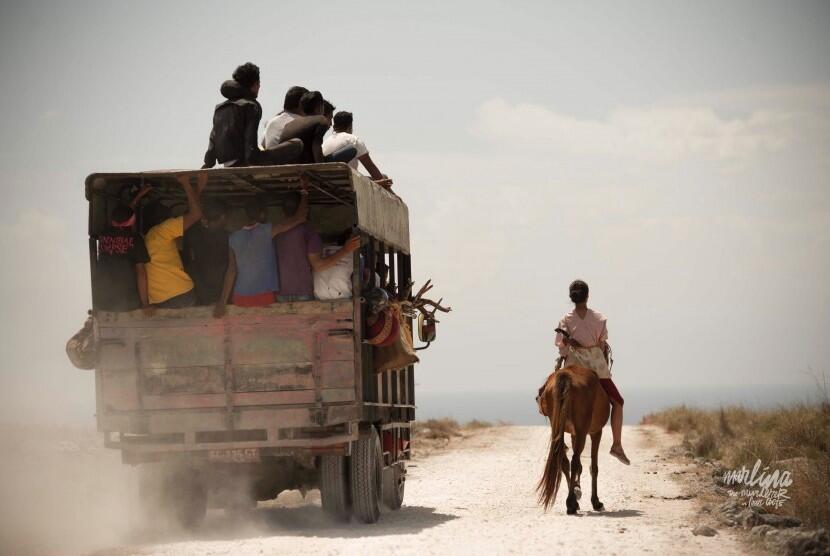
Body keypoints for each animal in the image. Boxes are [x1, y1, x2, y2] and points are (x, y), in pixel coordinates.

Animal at [540, 368, 612, 516]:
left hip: (558, 428)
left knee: (565, 461)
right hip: (582, 431)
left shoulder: (574, 434)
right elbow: (593, 467)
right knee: (573, 462)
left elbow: (578, 465)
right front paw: (596, 502)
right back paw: (571, 503)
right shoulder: (596, 432)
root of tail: (565, 375)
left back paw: (572, 500)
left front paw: (576, 490)